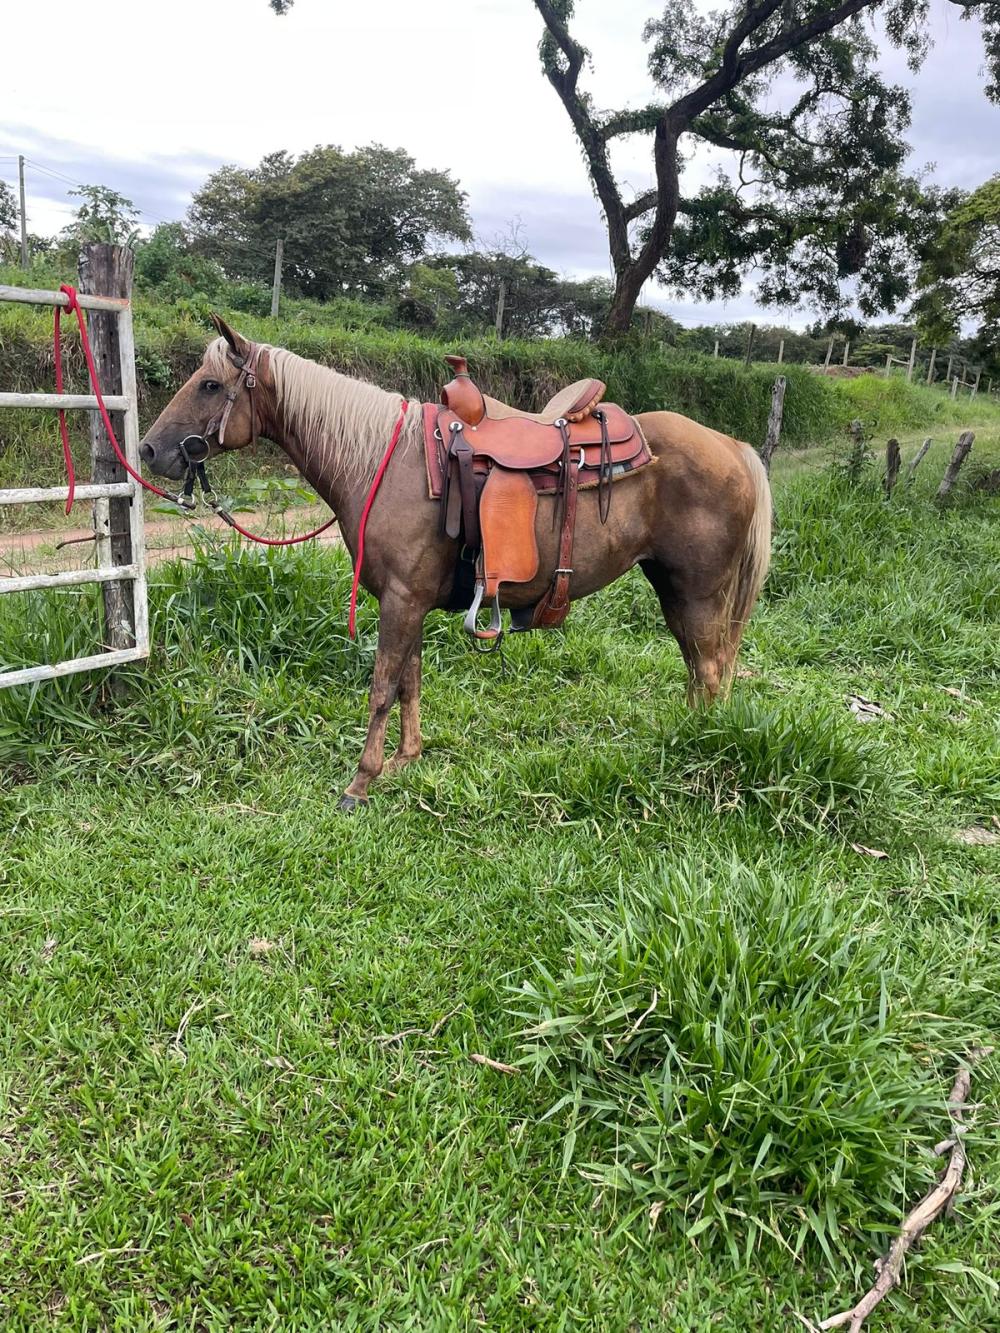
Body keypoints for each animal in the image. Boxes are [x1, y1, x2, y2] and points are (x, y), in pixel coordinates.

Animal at [140, 317, 772, 809]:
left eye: (210, 384)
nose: (148, 449)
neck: (382, 460)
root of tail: (733, 447)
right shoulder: (409, 601)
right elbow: (409, 681)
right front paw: (405, 760)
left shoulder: (401, 600)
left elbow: (381, 686)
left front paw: (360, 783)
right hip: (674, 589)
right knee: (701, 668)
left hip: (698, 592)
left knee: (711, 669)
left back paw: (697, 751)